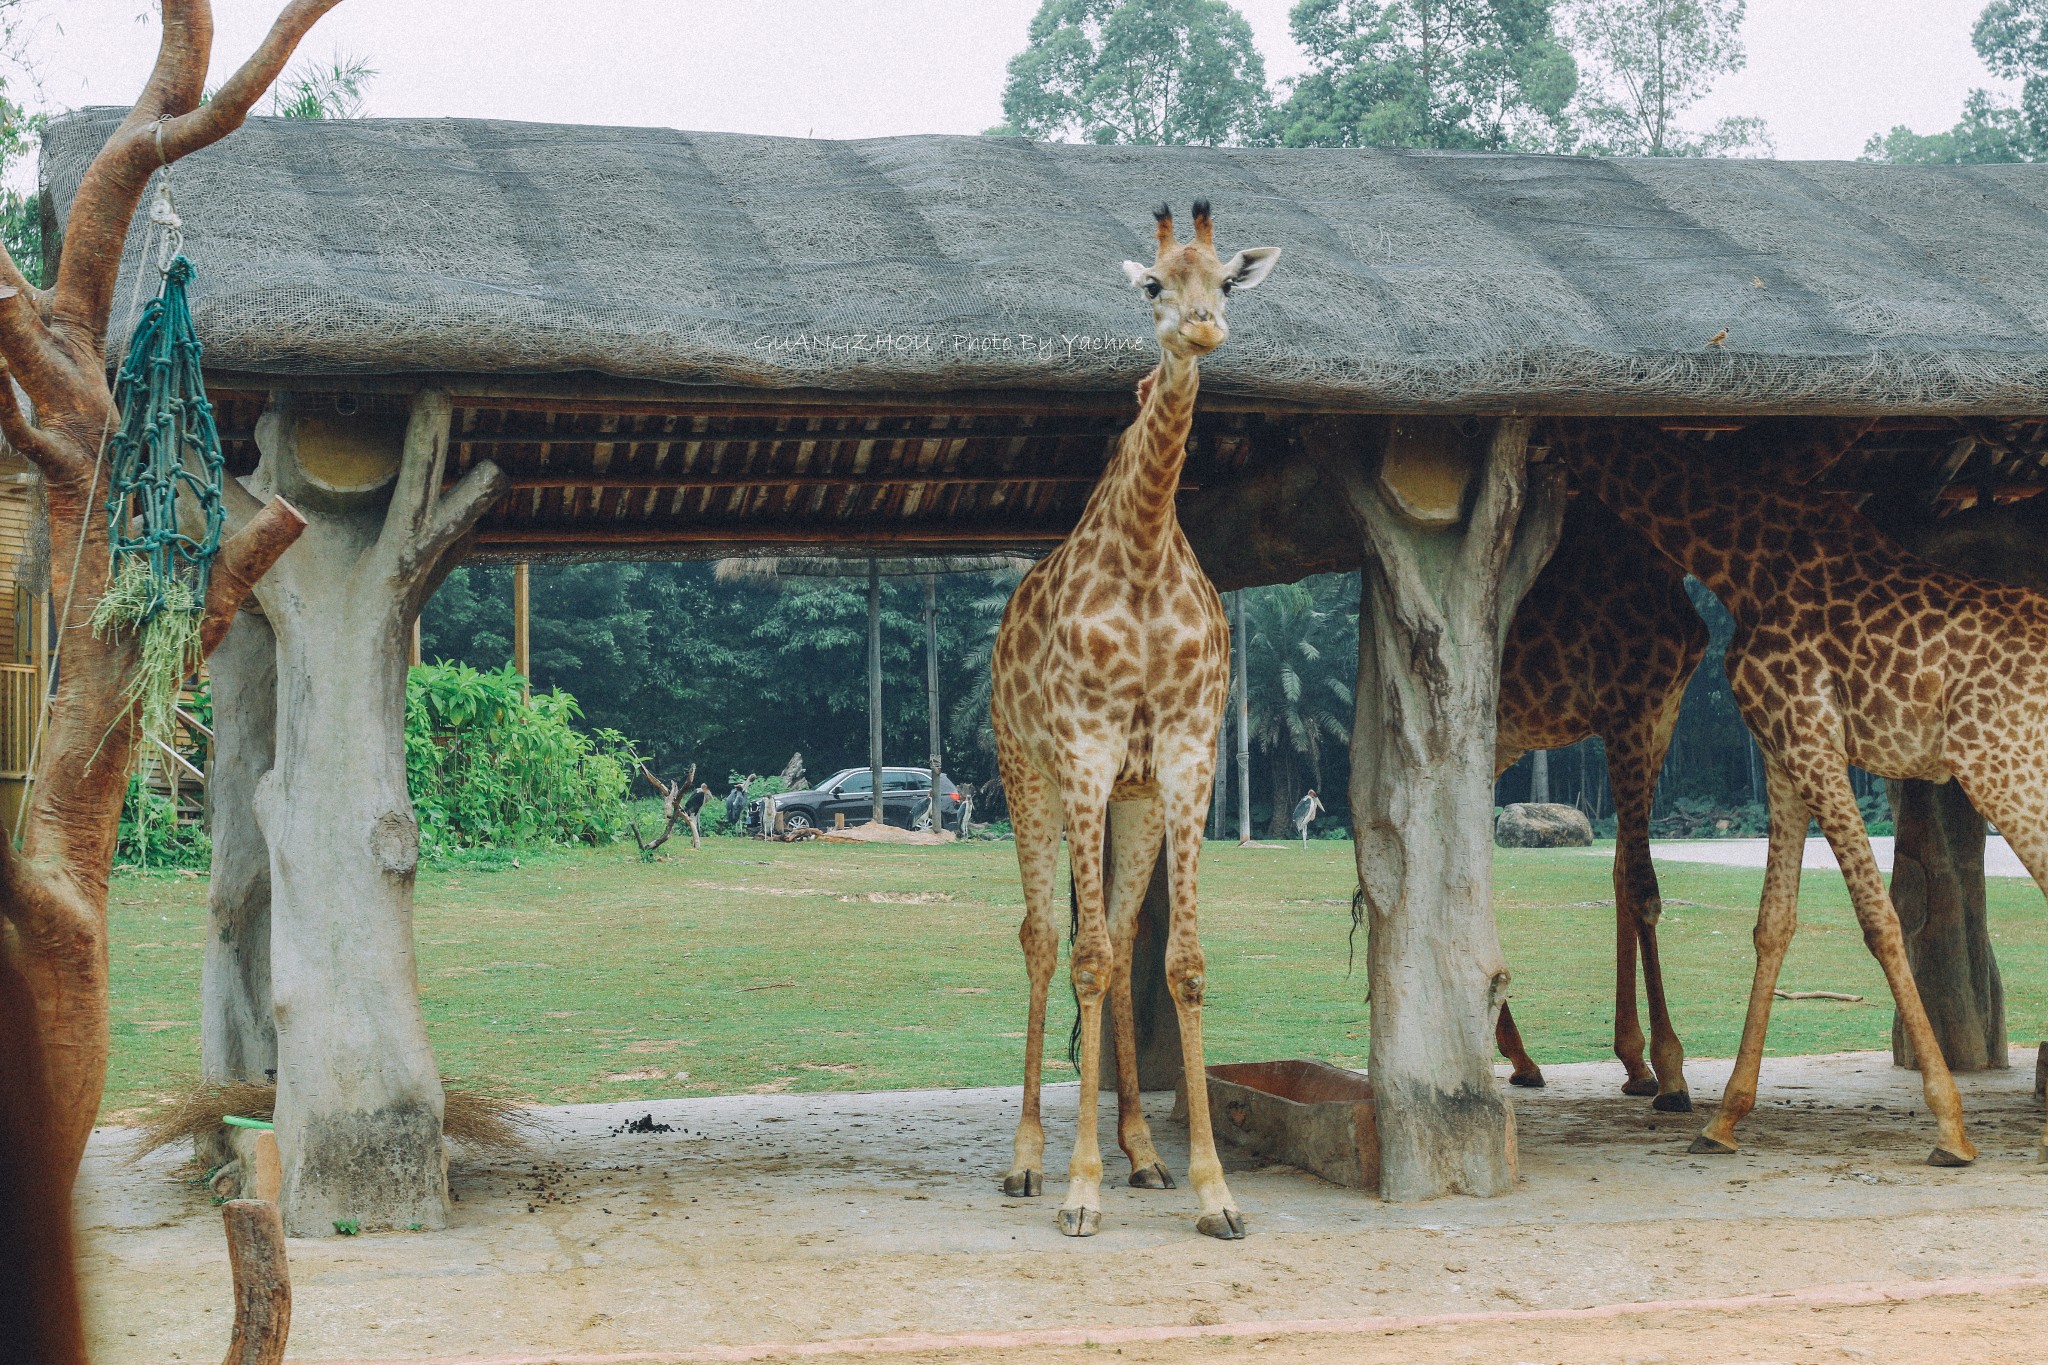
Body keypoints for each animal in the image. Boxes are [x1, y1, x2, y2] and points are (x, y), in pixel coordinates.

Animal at [991, 202, 1277, 1236]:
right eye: (1155, 284)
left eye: (1226, 282)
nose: (1201, 328)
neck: (1149, 548)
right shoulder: (1081, 751)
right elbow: (1080, 952)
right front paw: (1077, 1189)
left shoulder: (1188, 759)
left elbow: (1177, 961)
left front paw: (1215, 1190)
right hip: (1025, 772)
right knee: (1047, 937)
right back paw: (1029, 1161)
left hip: (1135, 798)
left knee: (1116, 947)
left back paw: (1144, 1157)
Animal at [1490, 497, 1712, 1113]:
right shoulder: (1628, 708)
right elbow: (1643, 888)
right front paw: (1672, 1072)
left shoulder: (1661, 714)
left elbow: (1619, 875)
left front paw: (1637, 1064)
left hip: (1500, 743)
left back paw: (1521, 1058)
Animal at [1556, 417, 2048, 1162]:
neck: (1739, 560)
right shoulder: (1782, 748)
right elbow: (1773, 923)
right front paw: (1723, 1120)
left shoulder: (1812, 736)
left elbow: (1879, 919)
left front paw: (1951, 1128)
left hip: (2003, 767)